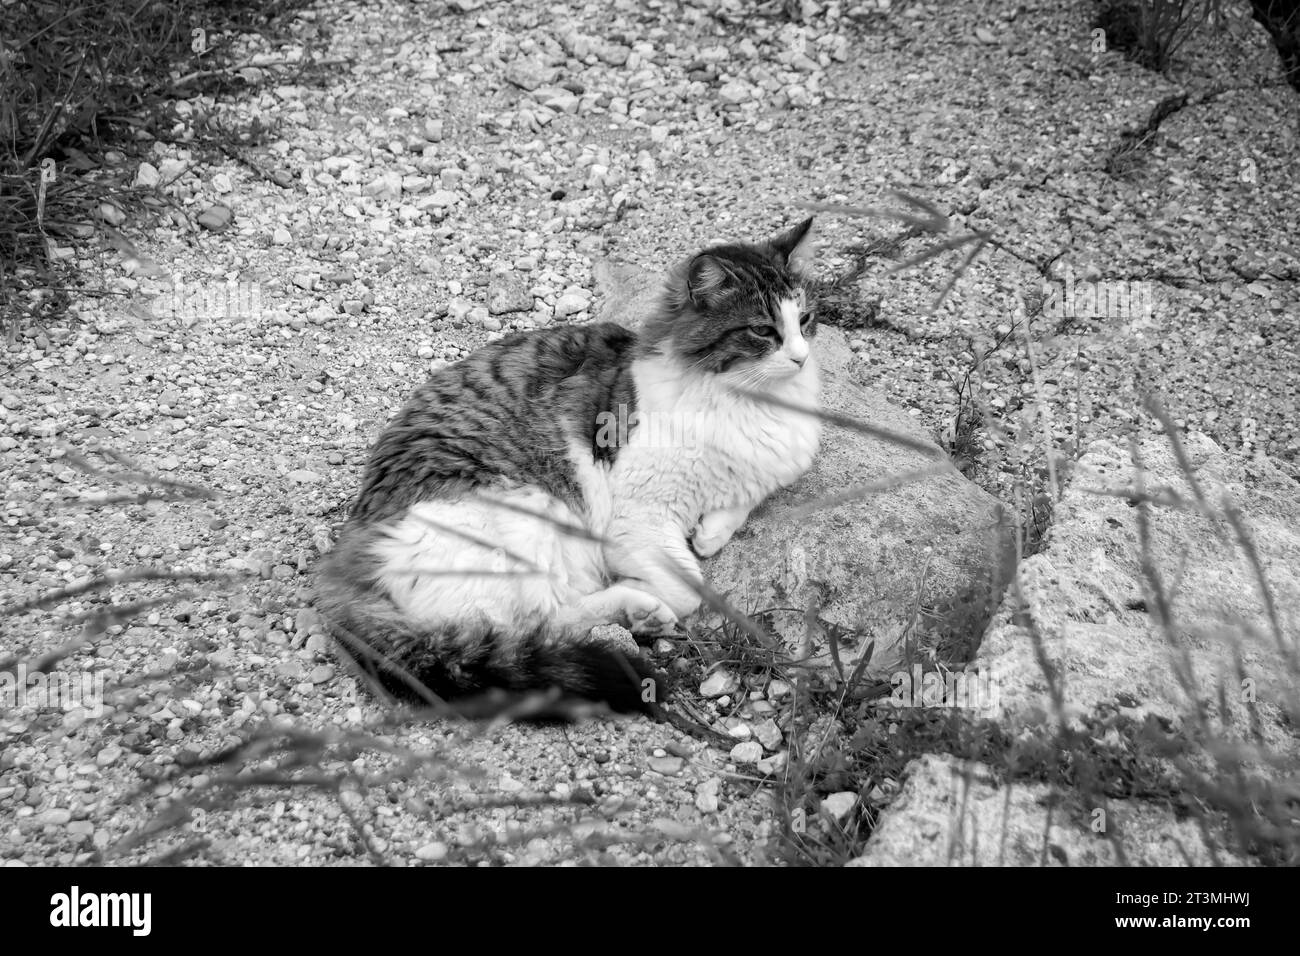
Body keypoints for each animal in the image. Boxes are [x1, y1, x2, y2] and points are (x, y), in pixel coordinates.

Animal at [315, 217, 816, 712]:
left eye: (805, 321)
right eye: (763, 331)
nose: (801, 357)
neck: (750, 402)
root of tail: (342, 570)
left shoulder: (768, 469)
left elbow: (738, 505)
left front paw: (710, 532)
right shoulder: (638, 518)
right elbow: (689, 586)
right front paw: (662, 583)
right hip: (525, 512)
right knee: (533, 626)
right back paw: (639, 609)